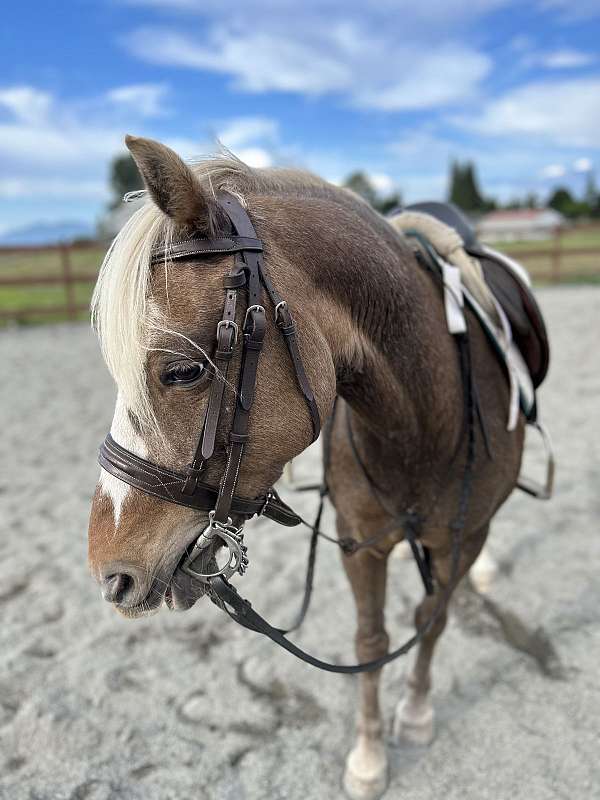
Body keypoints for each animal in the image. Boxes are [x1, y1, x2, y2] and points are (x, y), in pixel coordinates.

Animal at [88, 138, 524, 800]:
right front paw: (369, 756)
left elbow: (433, 618)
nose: (109, 574)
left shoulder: (462, 536)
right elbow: (371, 640)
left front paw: (415, 716)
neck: (425, 420)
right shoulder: (359, 541)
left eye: (183, 371)